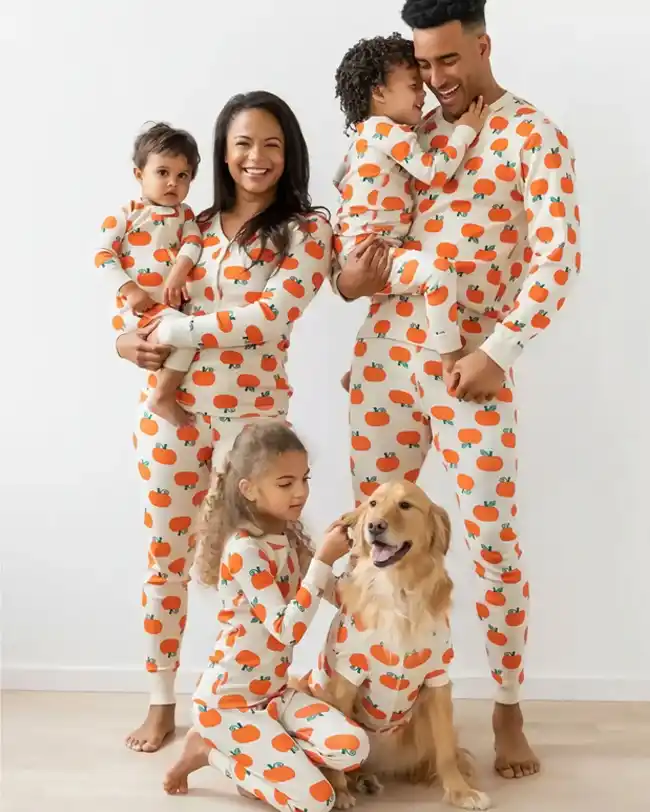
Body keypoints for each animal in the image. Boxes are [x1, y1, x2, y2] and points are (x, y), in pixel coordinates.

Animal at [296, 482, 488, 812]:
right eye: (373, 504)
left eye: (406, 505)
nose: (374, 526)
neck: (397, 587)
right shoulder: (347, 676)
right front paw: (340, 793)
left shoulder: (437, 679)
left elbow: (445, 749)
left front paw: (461, 792)